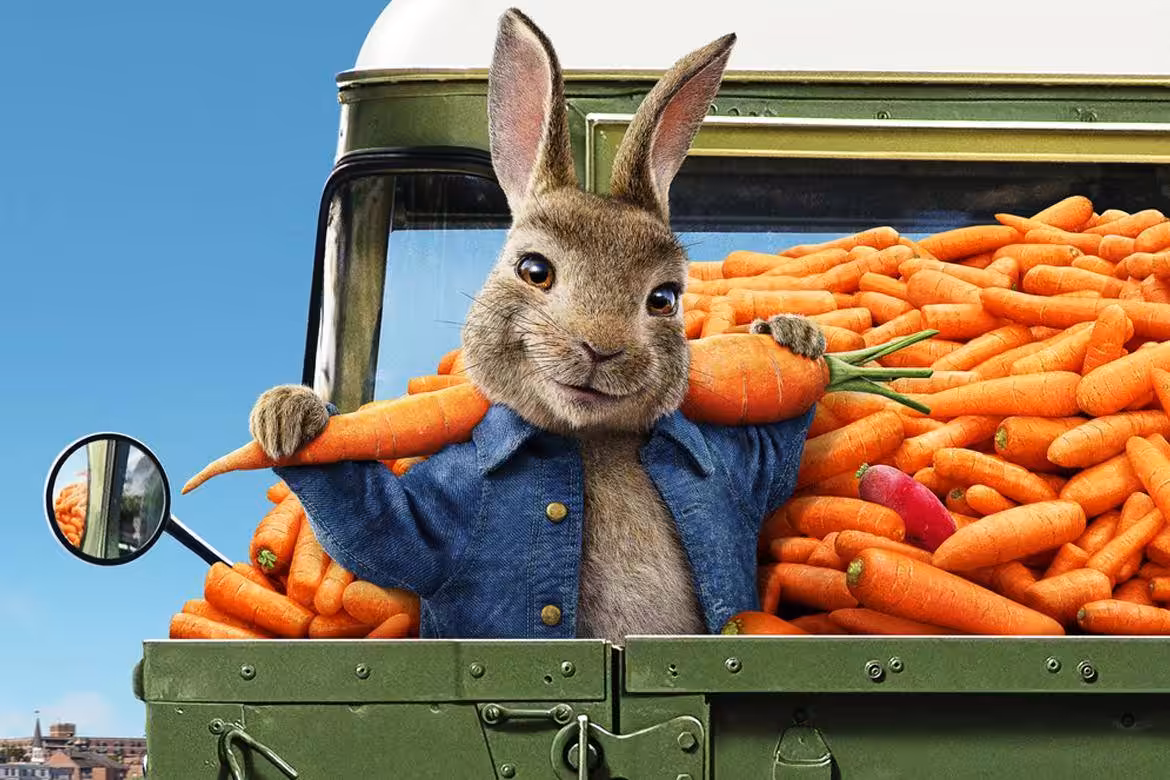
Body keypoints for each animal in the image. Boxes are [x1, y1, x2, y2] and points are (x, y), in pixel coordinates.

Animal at [249, 8, 826, 645]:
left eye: (664, 299)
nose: (601, 348)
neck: (593, 441)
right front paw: (288, 415)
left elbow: (773, 458)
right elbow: (384, 533)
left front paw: (792, 334)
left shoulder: (736, 473)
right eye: (533, 270)